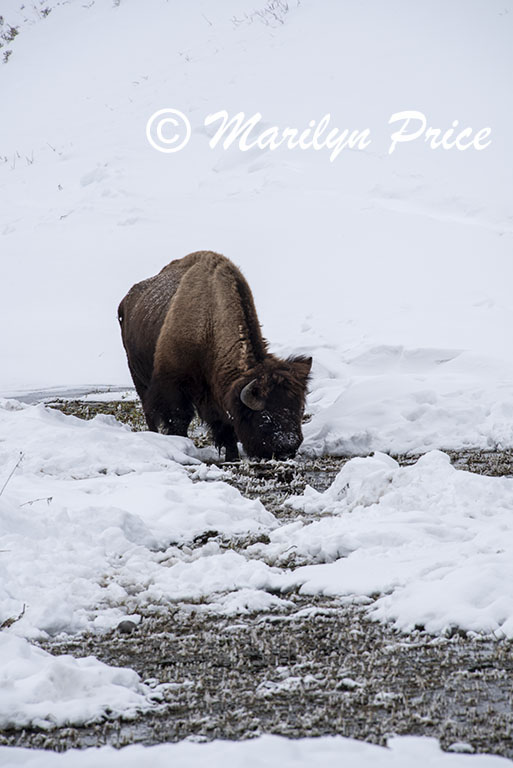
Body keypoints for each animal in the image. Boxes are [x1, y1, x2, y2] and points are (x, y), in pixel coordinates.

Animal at [118, 251, 312, 461]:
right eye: (265, 418)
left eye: (299, 410)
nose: (288, 448)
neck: (208, 324)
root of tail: (127, 299)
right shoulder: (173, 386)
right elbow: (179, 418)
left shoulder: (219, 396)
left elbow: (226, 427)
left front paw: (232, 457)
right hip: (138, 377)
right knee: (149, 411)